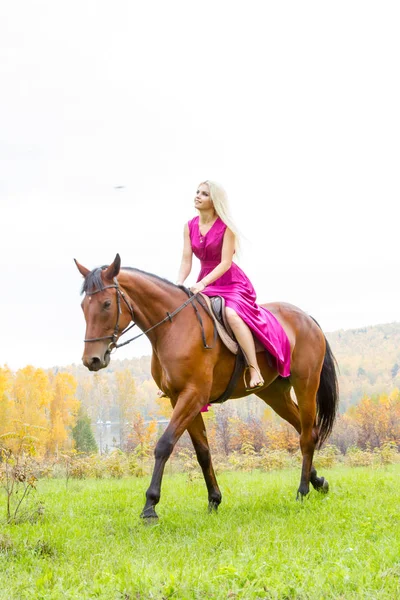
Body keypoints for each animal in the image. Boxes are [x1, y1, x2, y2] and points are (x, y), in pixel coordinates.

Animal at [74, 253, 338, 520]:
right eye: (83, 306)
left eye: (107, 304)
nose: (91, 360)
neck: (173, 328)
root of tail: (307, 318)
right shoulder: (180, 399)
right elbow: (203, 451)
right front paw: (214, 499)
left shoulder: (193, 396)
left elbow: (164, 445)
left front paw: (150, 506)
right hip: (274, 394)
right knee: (306, 431)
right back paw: (319, 482)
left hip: (305, 385)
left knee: (306, 437)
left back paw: (303, 491)